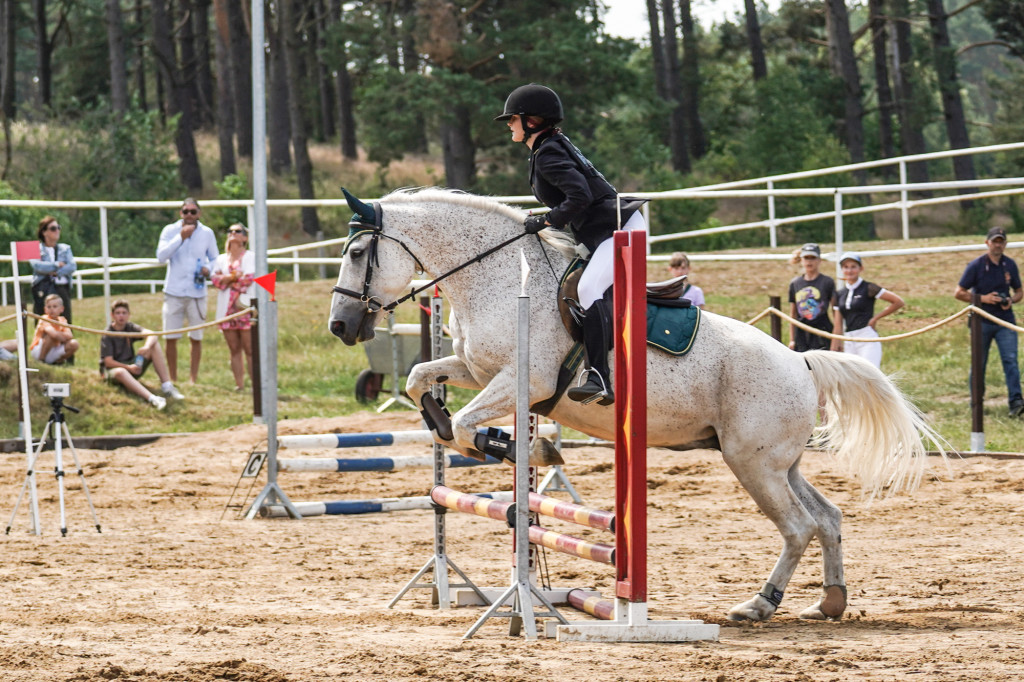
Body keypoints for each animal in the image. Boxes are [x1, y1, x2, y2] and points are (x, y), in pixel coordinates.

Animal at [327, 186, 942, 622]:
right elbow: (419, 381)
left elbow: (464, 425)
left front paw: (518, 447)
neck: (495, 274)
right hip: (778, 462)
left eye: (357, 253)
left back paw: (758, 605)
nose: (341, 327)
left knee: (798, 527)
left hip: (752, 463)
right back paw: (830, 601)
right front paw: (479, 434)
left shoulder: (521, 380)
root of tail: (803, 362)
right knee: (827, 518)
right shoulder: (477, 369)